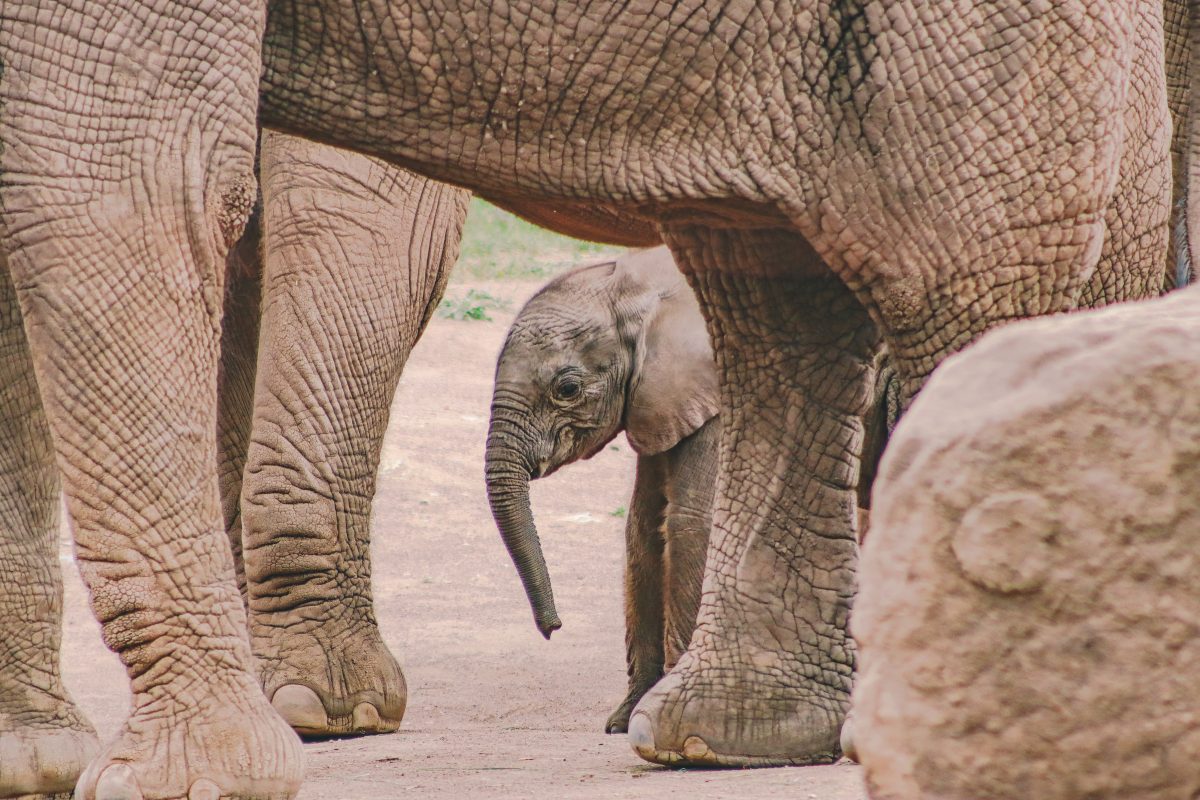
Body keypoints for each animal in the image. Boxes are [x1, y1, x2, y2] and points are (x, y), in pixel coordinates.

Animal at [482, 247, 715, 734]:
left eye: (567, 389)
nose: (553, 628)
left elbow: (691, 522)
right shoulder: (657, 398)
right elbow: (642, 529)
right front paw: (625, 720)